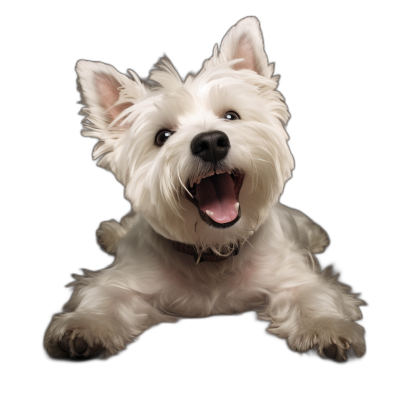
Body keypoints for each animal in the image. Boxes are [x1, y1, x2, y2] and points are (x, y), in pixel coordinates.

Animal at [43, 16, 366, 362]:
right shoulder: (123, 280)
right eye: (163, 136)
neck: (213, 250)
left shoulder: (294, 276)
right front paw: (84, 328)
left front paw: (328, 328)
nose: (210, 141)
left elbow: (314, 295)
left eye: (231, 115)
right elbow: (104, 297)